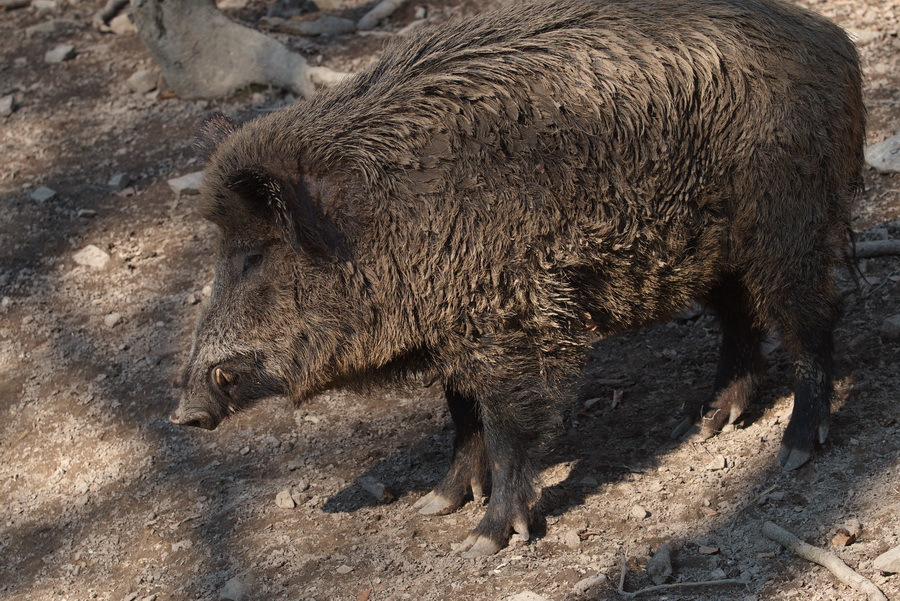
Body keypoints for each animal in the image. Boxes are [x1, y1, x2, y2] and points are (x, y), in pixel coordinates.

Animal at [170, 0, 864, 556]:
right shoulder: (450, 331)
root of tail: (833, 41)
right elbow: (460, 416)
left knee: (813, 322)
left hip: (791, 223)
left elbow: (507, 430)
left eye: (254, 255)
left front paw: (482, 542)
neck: (375, 222)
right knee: (742, 319)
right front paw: (436, 505)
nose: (183, 414)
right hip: (710, 249)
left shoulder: (512, 322)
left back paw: (794, 452)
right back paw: (704, 425)